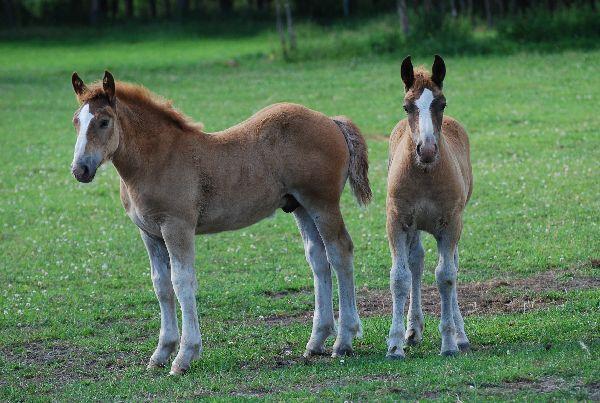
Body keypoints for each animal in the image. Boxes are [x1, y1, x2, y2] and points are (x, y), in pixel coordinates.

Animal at [384, 56, 474, 360]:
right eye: (406, 106)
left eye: (442, 103)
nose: (427, 150)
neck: (424, 173)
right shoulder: (397, 221)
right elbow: (400, 277)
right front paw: (395, 345)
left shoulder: (450, 224)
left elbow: (446, 276)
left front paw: (449, 343)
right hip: (414, 226)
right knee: (416, 262)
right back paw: (413, 331)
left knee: (452, 266)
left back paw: (460, 335)